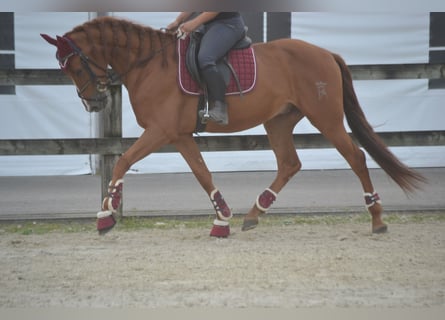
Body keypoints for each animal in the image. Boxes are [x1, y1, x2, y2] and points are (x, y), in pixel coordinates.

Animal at [40, 16, 424, 236]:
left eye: (74, 66)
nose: (94, 103)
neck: (149, 64)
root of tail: (325, 53)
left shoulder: (161, 132)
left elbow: (123, 161)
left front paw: (106, 214)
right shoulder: (179, 135)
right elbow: (202, 173)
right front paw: (222, 219)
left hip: (325, 117)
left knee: (355, 157)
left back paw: (377, 220)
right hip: (278, 121)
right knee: (290, 164)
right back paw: (254, 214)